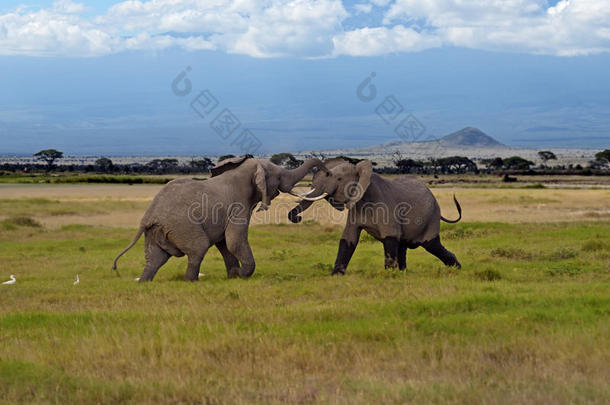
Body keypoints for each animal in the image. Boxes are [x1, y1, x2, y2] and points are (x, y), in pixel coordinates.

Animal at [111, 155, 326, 280]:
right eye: (279, 177)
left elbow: (224, 243)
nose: (326, 169)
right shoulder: (239, 206)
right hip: (182, 225)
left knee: (155, 259)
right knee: (198, 248)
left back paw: (145, 281)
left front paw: (233, 276)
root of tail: (148, 216)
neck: (244, 171)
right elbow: (234, 241)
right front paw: (241, 274)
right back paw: (191, 281)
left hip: (157, 230)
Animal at [286, 158, 460, 274]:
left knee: (432, 245)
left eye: (339, 179)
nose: (297, 218)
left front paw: (389, 276)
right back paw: (403, 273)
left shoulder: (385, 206)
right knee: (403, 246)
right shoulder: (356, 207)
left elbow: (390, 237)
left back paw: (457, 268)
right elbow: (348, 239)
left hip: (431, 217)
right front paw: (336, 276)